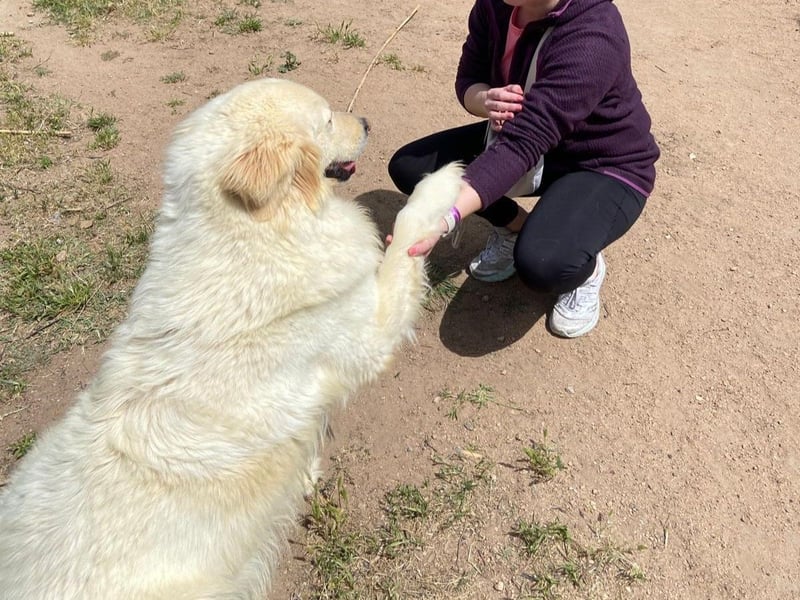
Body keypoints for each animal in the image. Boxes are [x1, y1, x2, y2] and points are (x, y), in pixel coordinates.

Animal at [0, 79, 462, 600]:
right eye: (327, 120)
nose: (366, 123)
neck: (257, 232)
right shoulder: (368, 333)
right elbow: (406, 234)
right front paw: (442, 183)